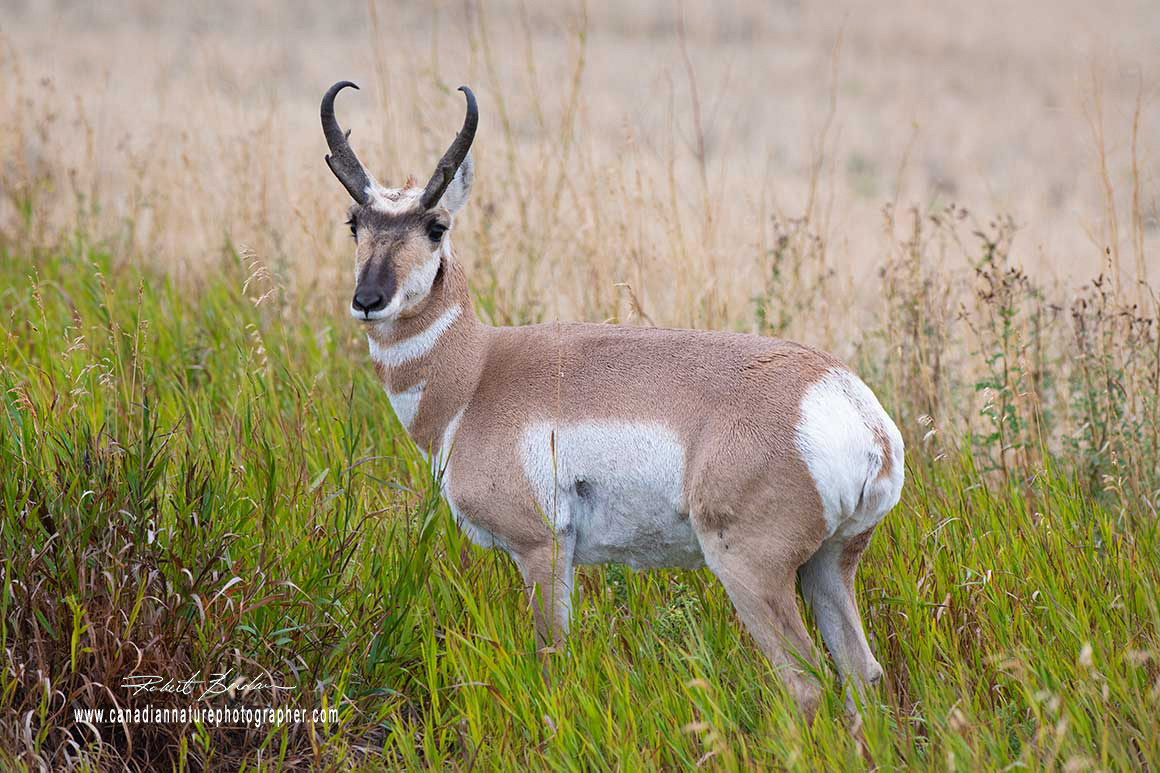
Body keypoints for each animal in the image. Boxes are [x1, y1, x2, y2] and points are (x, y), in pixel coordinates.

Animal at [321, 81, 904, 719]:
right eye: (353, 222)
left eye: (436, 225)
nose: (369, 299)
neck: (477, 374)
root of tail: (848, 404)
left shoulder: (543, 549)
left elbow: (551, 663)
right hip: (829, 565)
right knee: (863, 674)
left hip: (751, 571)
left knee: (806, 685)